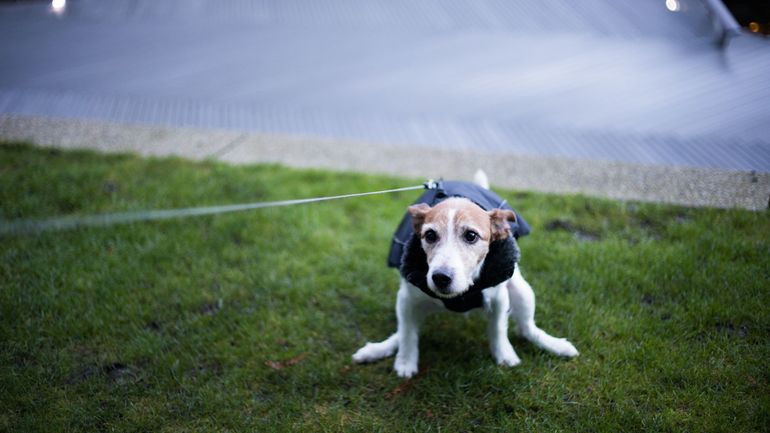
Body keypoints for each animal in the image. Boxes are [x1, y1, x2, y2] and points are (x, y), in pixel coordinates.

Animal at [352, 170, 572, 376]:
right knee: (404, 327)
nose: (440, 278)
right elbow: (408, 334)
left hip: (522, 291)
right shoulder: (407, 297)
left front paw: (504, 354)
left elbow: (498, 328)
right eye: (429, 235)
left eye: (471, 235)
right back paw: (379, 349)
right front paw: (405, 362)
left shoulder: (499, 298)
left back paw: (556, 345)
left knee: (526, 328)